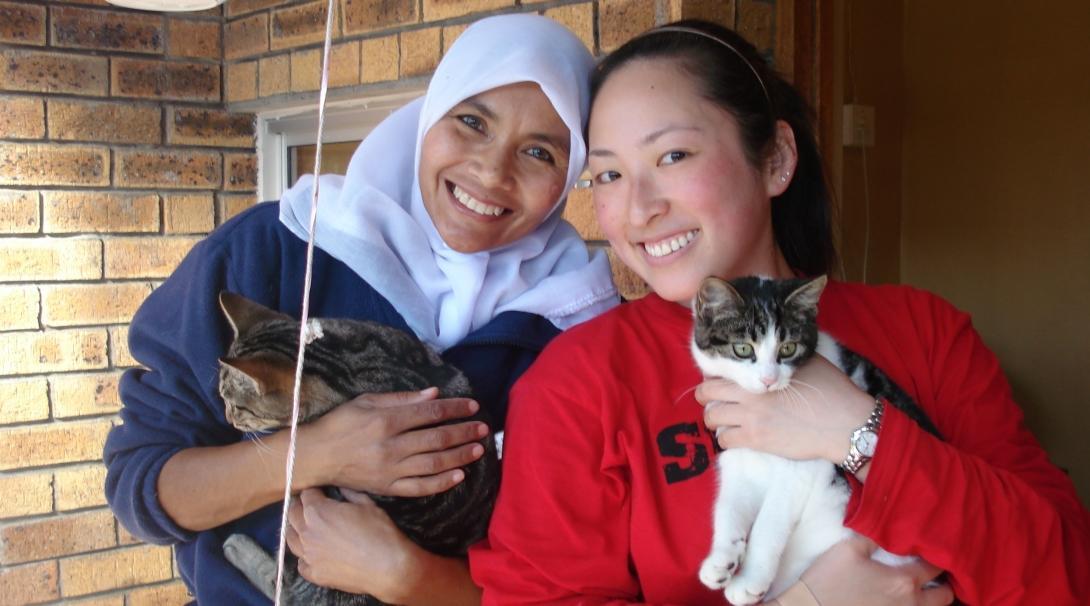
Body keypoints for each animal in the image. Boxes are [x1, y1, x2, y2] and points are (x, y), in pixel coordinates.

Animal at [688, 275, 937, 606]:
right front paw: (721, 560)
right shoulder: (735, 452)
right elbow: (729, 505)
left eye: (788, 348)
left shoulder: (802, 468)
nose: (768, 380)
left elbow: (770, 522)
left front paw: (750, 579)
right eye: (742, 348)